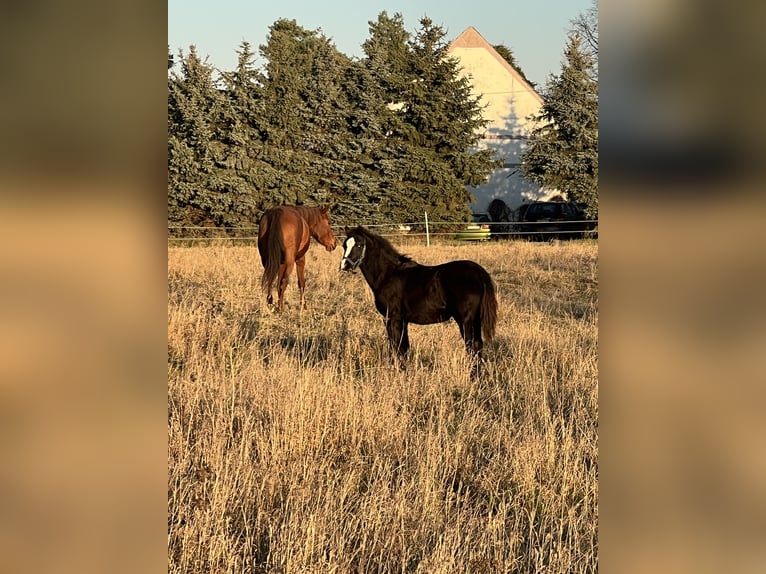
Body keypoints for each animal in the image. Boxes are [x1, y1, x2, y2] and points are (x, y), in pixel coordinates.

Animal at [339, 226, 497, 369]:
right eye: (344, 245)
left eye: (359, 245)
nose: (344, 266)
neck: (388, 275)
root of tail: (478, 271)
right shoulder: (403, 320)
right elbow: (404, 348)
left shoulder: (392, 318)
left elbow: (395, 346)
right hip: (475, 319)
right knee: (477, 345)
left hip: (465, 320)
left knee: (472, 346)